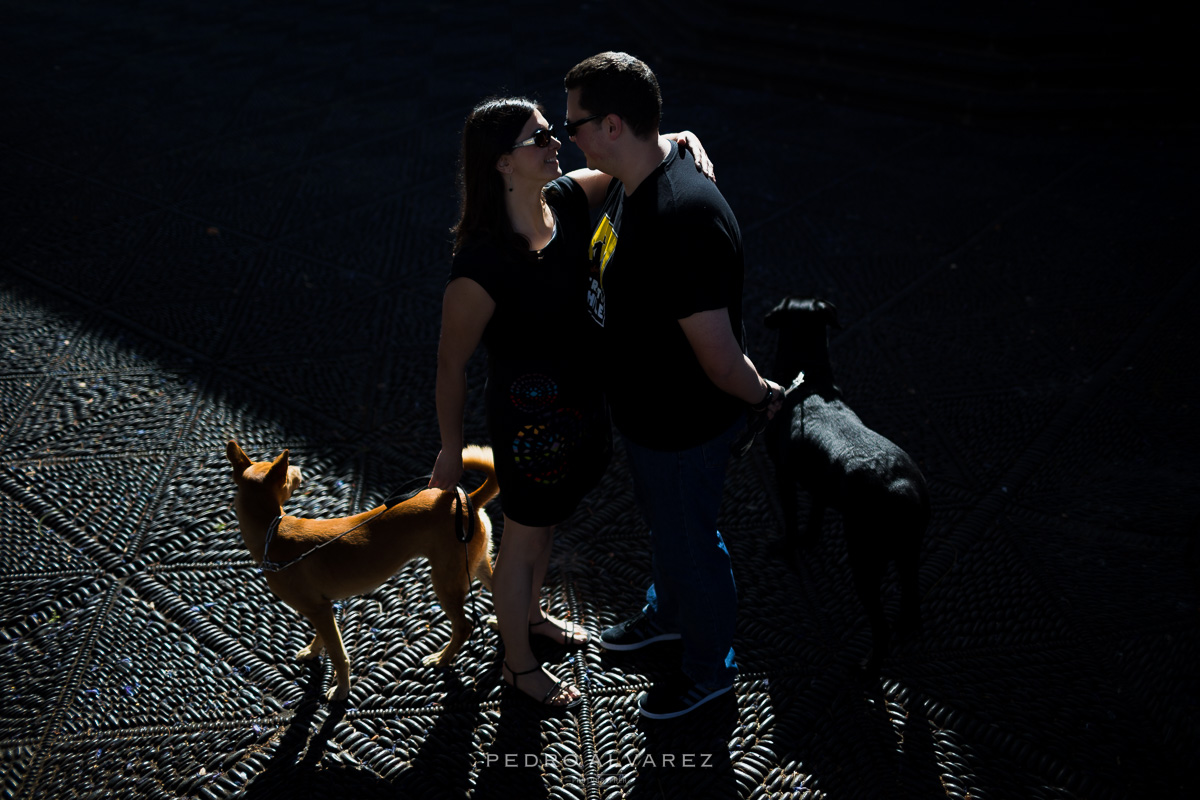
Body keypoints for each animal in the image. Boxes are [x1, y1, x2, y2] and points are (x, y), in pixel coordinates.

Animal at [225, 441, 496, 695]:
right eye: (288, 472)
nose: (299, 468)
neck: (273, 531)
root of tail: (469, 500)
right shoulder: (322, 609)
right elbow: (323, 638)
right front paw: (313, 652)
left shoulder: (319, 610)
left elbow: (338, 655)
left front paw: (341, 690)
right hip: (475, 566)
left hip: (446, 582)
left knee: (463, 627)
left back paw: (442, 659)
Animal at [763, 297, 931, 671]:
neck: (809, 381)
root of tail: (901, 489)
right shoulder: (820, 485)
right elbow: (815, 513)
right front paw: (810, 538)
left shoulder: (783, 474)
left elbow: (792, 517)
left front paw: (788, 545)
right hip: (908, 552)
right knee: (911, 596)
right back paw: (906, 627)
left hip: (865, 561)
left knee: (880, 625)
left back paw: (869, 666)